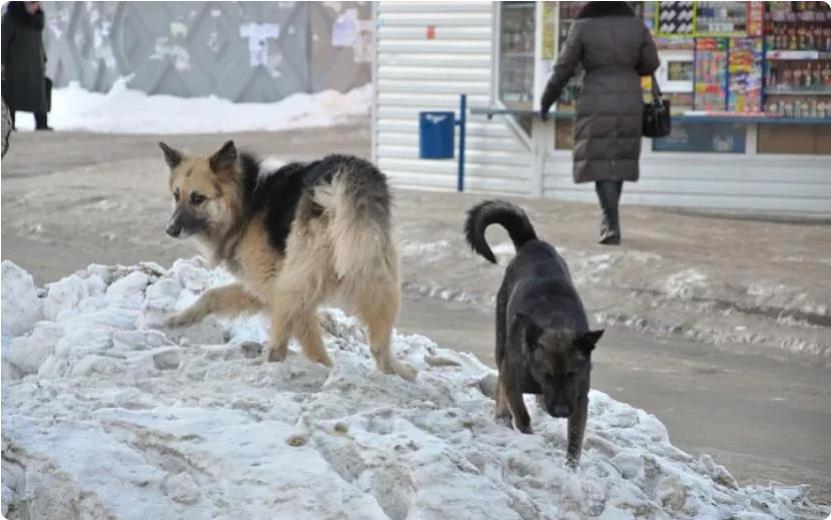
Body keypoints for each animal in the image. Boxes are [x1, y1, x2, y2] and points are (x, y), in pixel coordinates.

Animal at [158, 140, 416, 380]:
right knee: (379, 347)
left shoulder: (271, 282)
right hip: (377, 274)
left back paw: (283, 365)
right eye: (176, 195)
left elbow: (308, 336)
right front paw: (179, 319)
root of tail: (342, 171)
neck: (248, 199)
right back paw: (398, 372)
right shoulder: (262, 288)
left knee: (297, 337)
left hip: (297, 278)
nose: (170, 230)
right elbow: (212, 295)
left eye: (198, 198)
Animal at [462, 200, 604, 468]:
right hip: (501, 337)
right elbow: (521, 413)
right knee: (500, 380)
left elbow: (575, 439)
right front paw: (527, 435)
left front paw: (571, 469)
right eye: (546, 375)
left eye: (572, 374)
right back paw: (502, 416)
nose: (561, 412)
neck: (556, 322)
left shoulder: (580, 398)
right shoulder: (511, 375)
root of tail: (533, 243)